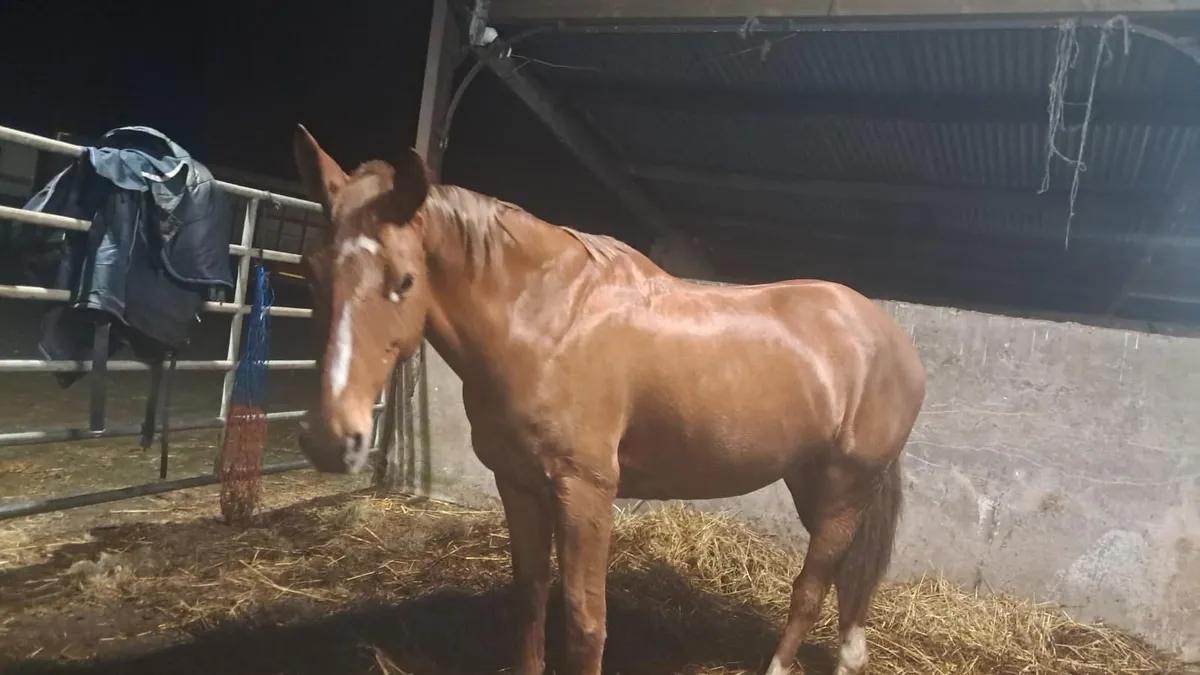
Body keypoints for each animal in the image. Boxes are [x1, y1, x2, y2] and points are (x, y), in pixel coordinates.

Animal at [291, 124, 926, 675]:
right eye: (312, 271)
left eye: (403, 279)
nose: (329, 437)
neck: (548, 322)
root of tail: (891, 339)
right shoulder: (518, 484)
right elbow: (529, 604)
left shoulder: (585, 492)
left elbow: (584, 621)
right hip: (810, 480)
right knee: (846, 574)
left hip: (846, 485)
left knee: (811, 586)